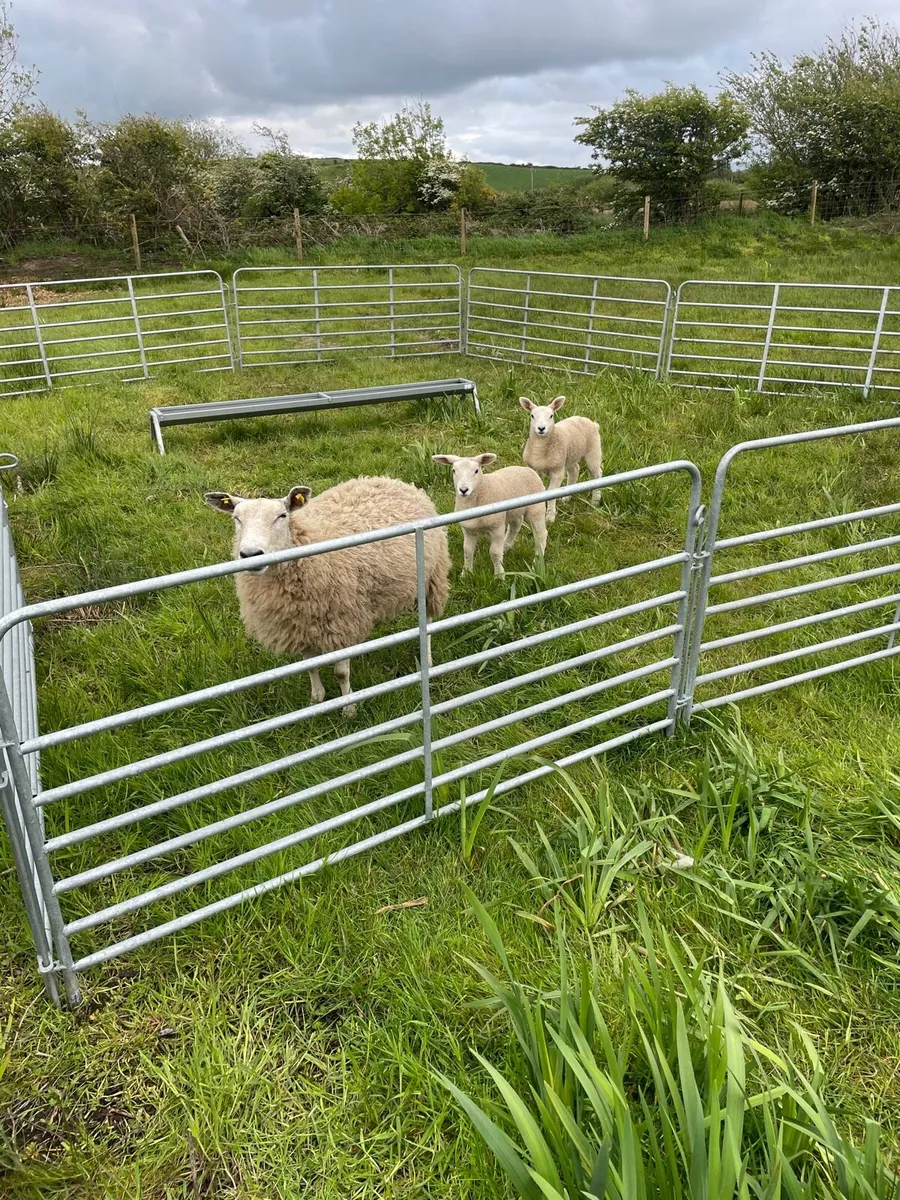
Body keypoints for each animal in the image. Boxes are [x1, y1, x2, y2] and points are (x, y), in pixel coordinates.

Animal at [205, 476, 450, 717]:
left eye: (282, 516)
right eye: (236, 518)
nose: (251, 554)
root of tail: (393, 480)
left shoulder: (342, 623)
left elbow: (341, 673)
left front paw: (349, 709)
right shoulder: (300, 624)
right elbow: (311, 665)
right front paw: (316, 700)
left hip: (432, 576)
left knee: (428, 620)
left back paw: (427, 659)